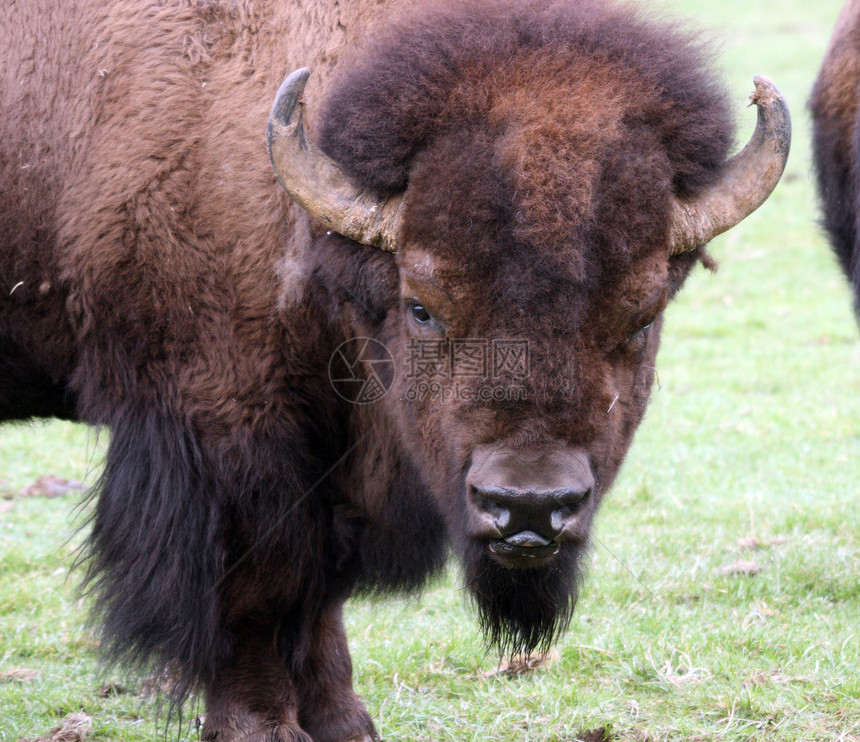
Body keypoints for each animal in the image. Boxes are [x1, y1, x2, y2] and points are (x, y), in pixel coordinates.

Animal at [0, 0, 788, 740]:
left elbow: (319, 593)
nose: (531, 507)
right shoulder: (228, 426)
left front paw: (345, 723)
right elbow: (262, 581)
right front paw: (263, 725)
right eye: (422, 307)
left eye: (642, 317)